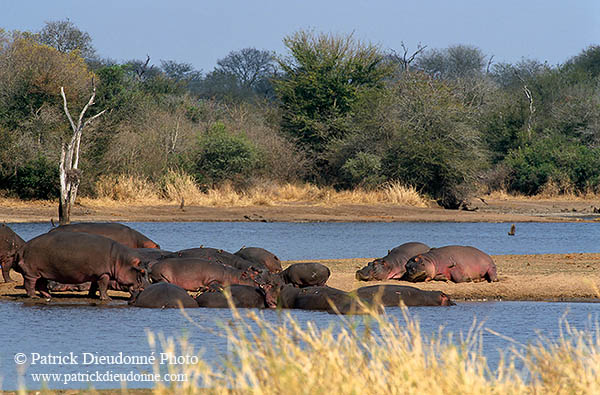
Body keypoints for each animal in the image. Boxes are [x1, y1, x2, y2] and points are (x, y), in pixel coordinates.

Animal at [13, 232, 149, 300]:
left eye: (148, 271)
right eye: (142, 272)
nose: (148, 287)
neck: (120, 260)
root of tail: (22, 248)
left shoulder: (96, 274)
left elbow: (95, 286)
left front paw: (92, 296)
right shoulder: (104, 274)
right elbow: (103, 286)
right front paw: (107, 299)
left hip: (41, 272)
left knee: (41, 284)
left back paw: (48, 296)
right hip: (31, 272)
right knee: (30, 284)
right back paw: (34, 296)